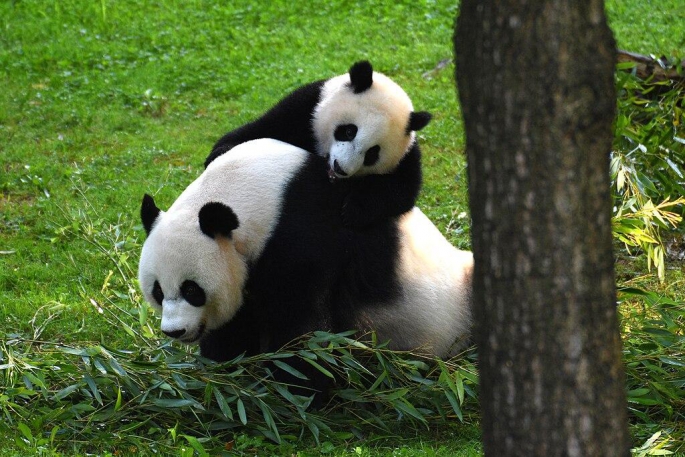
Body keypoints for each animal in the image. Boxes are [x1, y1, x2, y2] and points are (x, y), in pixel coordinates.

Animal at [138, 138, 472, 369]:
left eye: (192, 290)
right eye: (158, 292)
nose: (175, 331)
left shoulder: (303, 241)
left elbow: (301, 328)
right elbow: (238, 322)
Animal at [204, 61, 431, 228]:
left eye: (372, 154)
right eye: (349, 131)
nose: (341, 168)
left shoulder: (406, 155)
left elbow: (402, 189)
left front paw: (355, 209)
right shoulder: (304, 109)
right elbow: (261, 129)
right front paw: (221, 153)